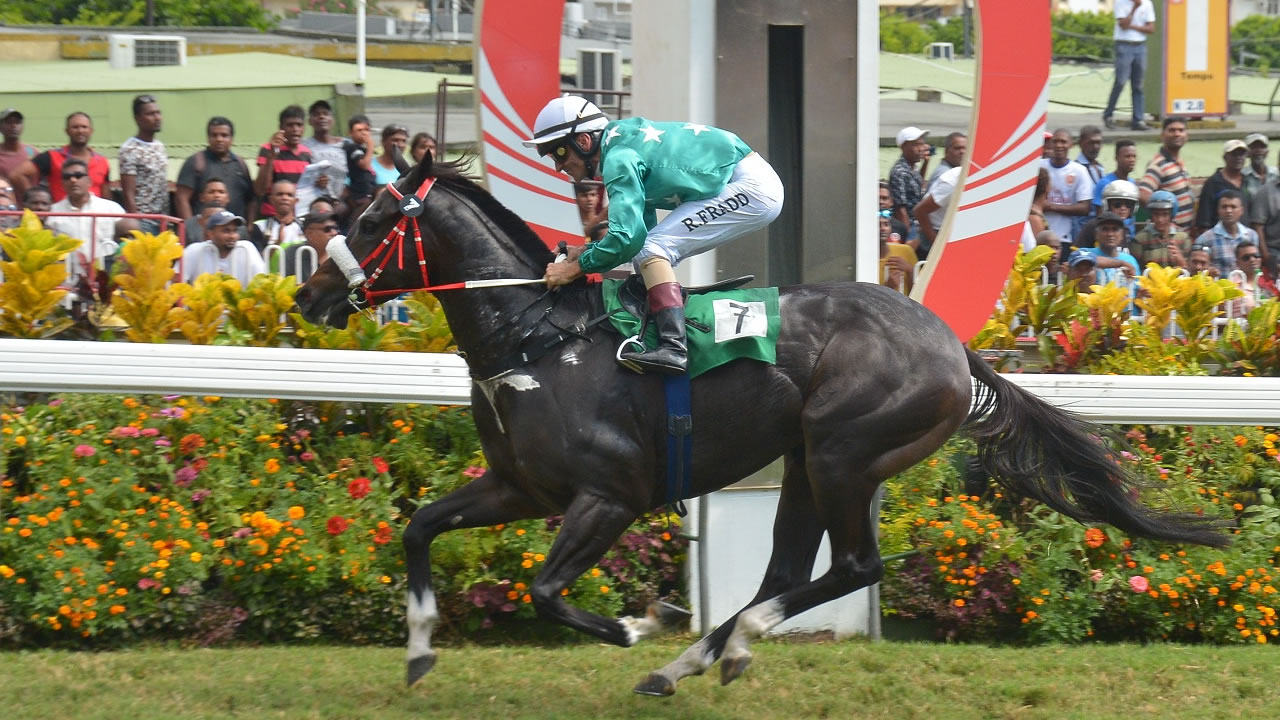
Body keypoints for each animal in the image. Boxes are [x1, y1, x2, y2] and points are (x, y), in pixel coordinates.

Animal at [294, 154, 1223, 691]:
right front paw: (419, 648)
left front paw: (639, 622)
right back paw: (703, 657)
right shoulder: (519, 486)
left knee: (853, 565)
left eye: (373, 221)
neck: (540, 339)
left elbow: (548, 591)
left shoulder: (609, 495)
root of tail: (953, 347)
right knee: (787, 568)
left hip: (845, 451)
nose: (309, 294)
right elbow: (418, 528)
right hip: (807, 459)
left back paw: (707, 649)